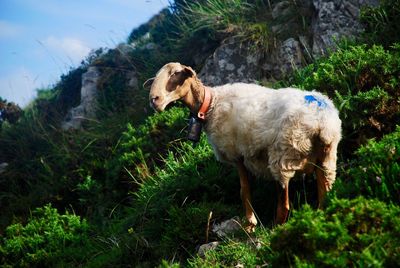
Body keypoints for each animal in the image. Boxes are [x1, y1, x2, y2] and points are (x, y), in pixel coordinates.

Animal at [149, 61, 340, 231]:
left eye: (175, 73)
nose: (154, 100)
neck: (211, 103)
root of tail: (322, 122)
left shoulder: (236, 154)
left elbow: (244, 190)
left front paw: (250, 223)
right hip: (327, 157)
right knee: (324, 195)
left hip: (285, 154)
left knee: (285, 204)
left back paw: (275, 228)